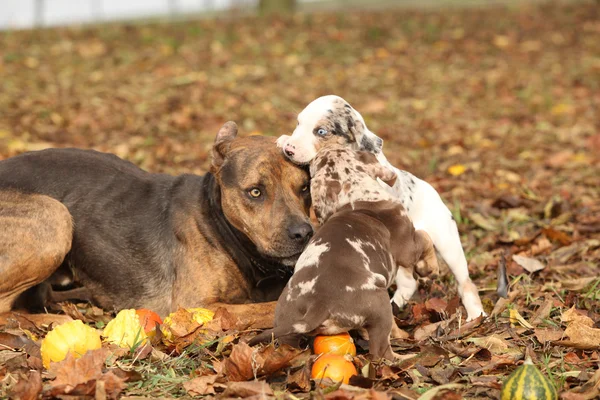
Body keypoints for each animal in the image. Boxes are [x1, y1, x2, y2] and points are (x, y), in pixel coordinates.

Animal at [1, 121, 314, 324]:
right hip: (56, 216)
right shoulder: (198, 308)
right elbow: (269, 309)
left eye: (304, 188)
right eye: (256, 192)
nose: (304, 233)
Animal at [251, 144, 438, 360]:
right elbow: (425, 237)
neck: (356, 196)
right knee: (381, 351)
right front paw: (430, 269)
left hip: (286, 325)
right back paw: (408, 358)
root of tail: (319, 304)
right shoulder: (408, 247)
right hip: (380, 303)